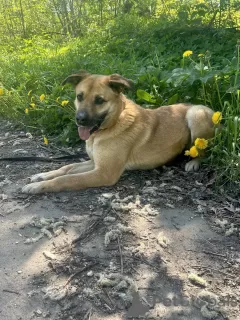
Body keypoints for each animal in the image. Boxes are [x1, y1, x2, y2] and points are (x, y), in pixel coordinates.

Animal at [22, 71, 216, 194]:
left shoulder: (104, 172)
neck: (112, 124)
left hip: (195, 115)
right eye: (79, 96)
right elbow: (67, 168)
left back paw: (193, 162)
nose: (79, 119)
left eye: (99, 100)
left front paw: (39, 186)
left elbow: (67, 179)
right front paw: (41, 176)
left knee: (204, 150)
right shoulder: (96, 163)